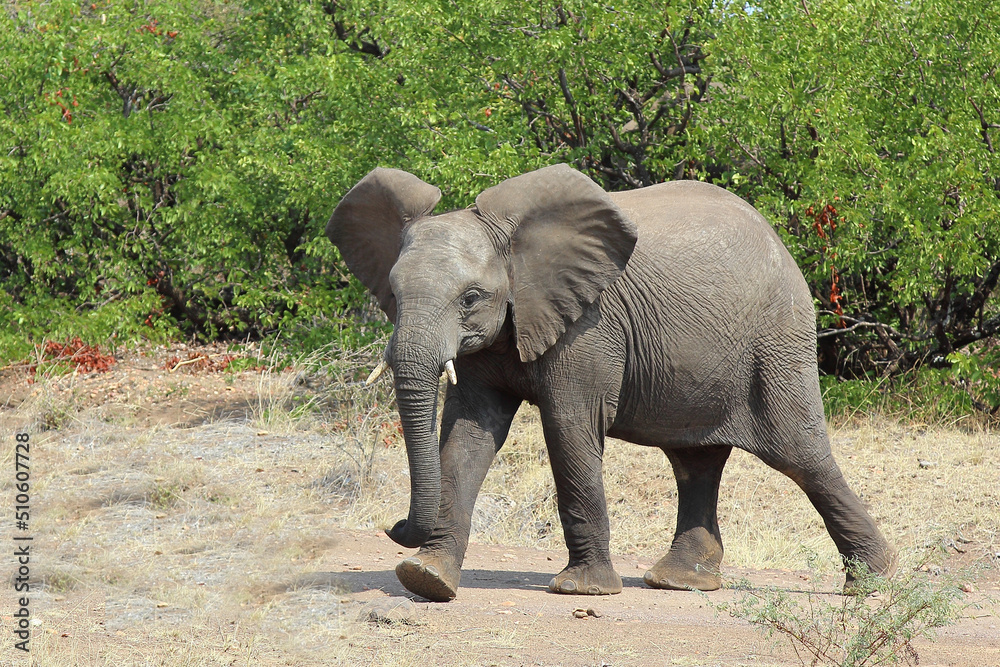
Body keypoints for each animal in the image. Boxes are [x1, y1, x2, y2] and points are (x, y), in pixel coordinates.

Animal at [326, 164, 895, 602]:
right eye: (393, 292)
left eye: (470, 298)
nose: (394, 527)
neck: (517, 248)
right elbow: (467, 435)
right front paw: (427, 579)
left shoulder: (589, 327)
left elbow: (569, 428)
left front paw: (580, 590)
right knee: (695, 461)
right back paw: (680, 583)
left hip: (776, 343)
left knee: (802, 456)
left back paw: (875, 584)